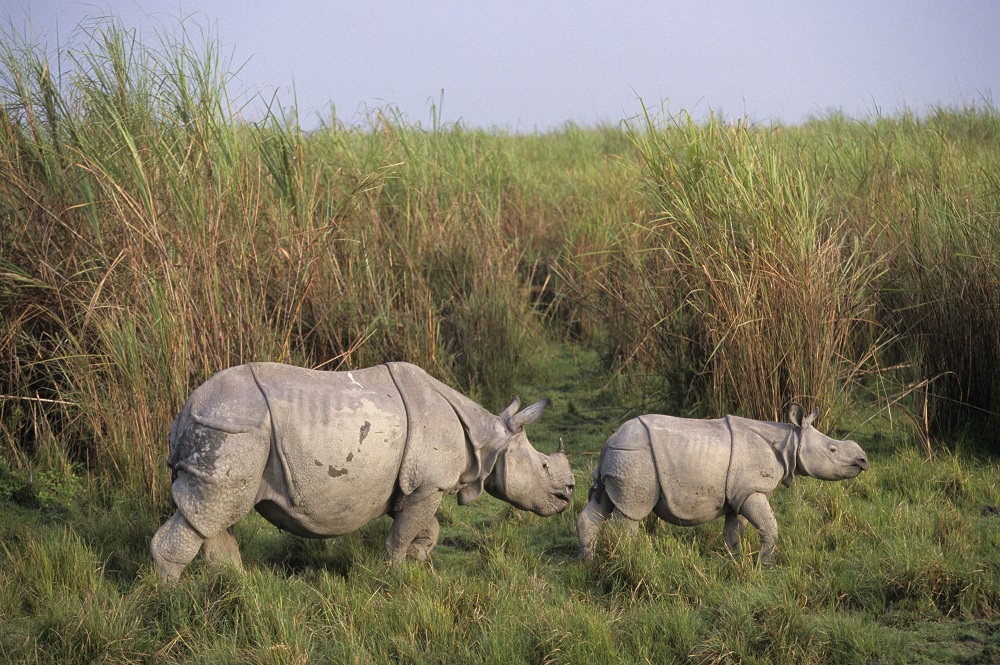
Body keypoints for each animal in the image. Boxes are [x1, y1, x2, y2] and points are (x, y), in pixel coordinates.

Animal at [150, 361, 575, 580]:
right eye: (543, 466)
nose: (569, 492)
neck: (489, 439)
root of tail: (185, 410)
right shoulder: (429, 485)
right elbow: (403, 533)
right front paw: (397, 574)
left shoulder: (419, 487)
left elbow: (426, 527)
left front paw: (418, 560)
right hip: (231, 429)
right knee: (213, 510)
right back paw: (173, 600)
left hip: (225, 429)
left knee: (212, 513)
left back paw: (237, 585)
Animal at [576, 403, 868, 565]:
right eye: (832, 450)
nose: (863, 460)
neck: (789, 442)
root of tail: (608, 439)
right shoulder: (751, 488)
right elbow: (769, 527)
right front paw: (764, 566)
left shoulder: (738, 493)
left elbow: (732, 532)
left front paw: (736, 562)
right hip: (635, 456)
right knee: (631, 512)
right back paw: (631, 560)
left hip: (621, 456)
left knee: (601, 505)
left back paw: (588, 562)